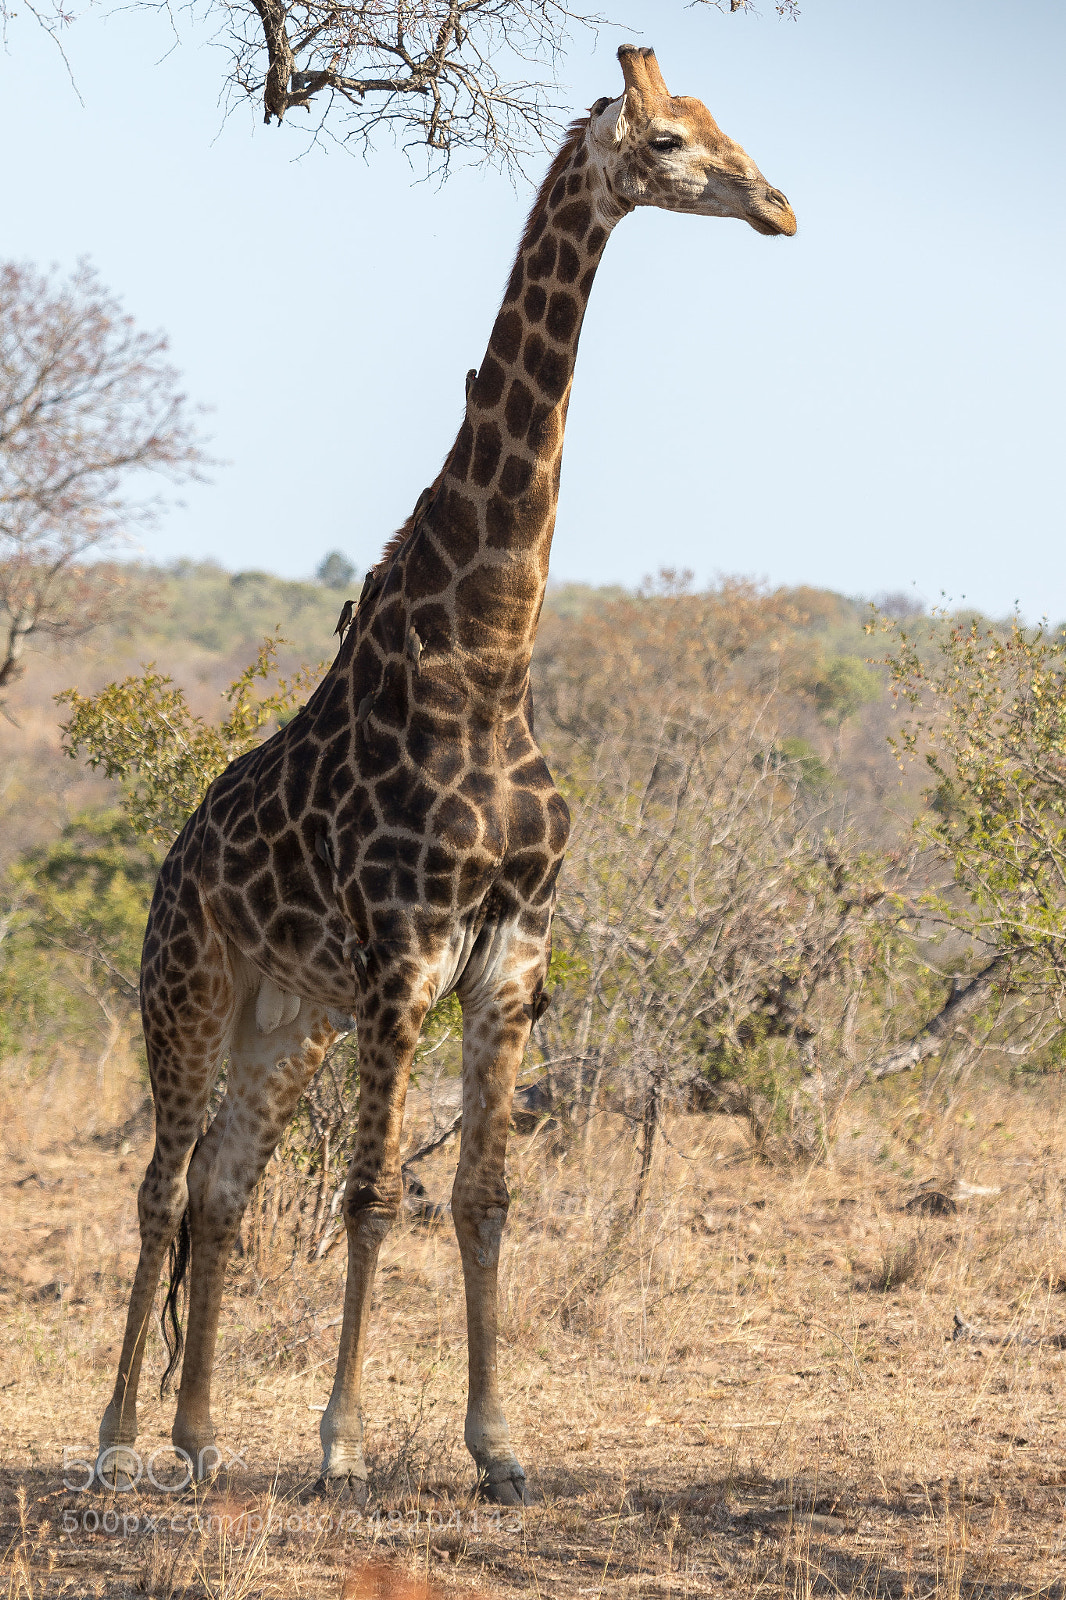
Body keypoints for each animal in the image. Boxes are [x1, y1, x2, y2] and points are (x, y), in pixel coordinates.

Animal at [96, 44, 796, 1507]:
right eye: (668, 140)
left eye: (725, 125)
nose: (777, 206)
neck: (488, 656)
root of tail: (174, 860)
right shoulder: (404, 956)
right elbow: (373, 1197)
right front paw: (344, 1444)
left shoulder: (511, 954)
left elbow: (480, 1196)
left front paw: (498, 1446)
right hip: (189, 989)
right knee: (160, 1186)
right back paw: (119, 1440)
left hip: (287, 1021)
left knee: (223, 1191)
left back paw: (199, 1437)